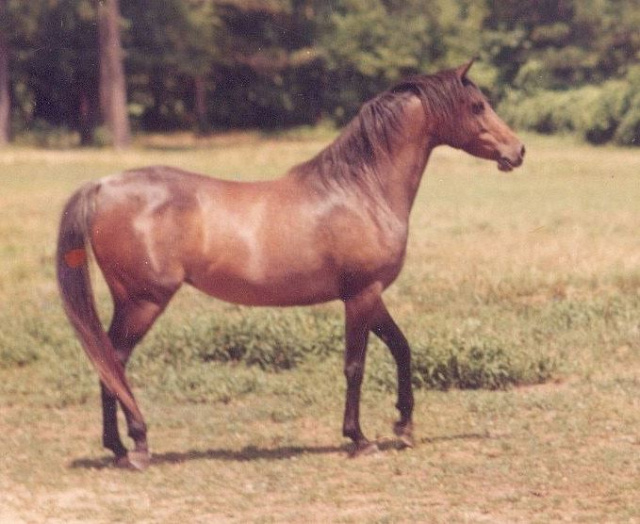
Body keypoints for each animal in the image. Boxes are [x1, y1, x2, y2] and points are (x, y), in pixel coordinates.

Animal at [56, 62, 524, 470]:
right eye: (477, 106)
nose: (517, 150)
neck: (361, 190)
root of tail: (103, 186)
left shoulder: (370, 296)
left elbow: (402, 349)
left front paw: (404, 426)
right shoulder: (360, 296)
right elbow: (355, 367)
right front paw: (359, 438)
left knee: (107, 361)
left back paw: (118, 447)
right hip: (143, 303)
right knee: (113, 360)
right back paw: (136, 446)